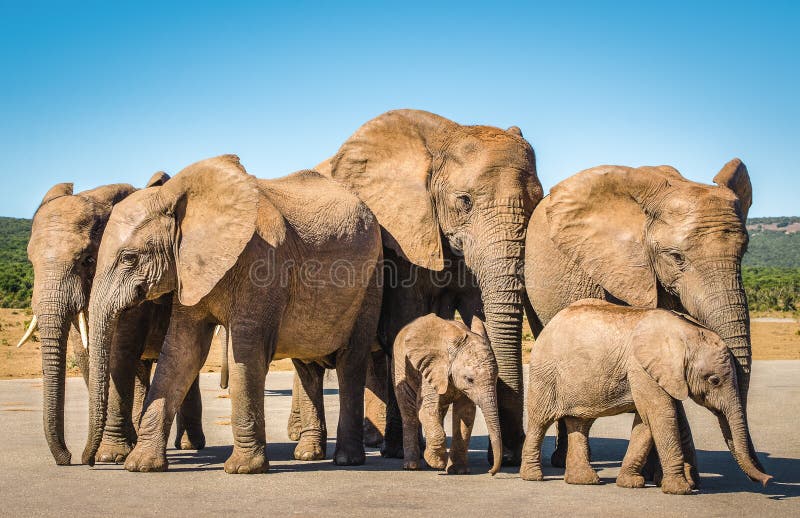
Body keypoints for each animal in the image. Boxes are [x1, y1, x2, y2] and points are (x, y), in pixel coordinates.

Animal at [22, 174, 206, 468]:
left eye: (88, 259)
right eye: (31, 262)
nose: (71, 458)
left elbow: (121, 352)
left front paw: (110, 455)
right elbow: (86, 354)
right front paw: (117, 451)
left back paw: (190, 444)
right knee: (142, 368)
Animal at [392, 314, 500, 478]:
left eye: (496, 377)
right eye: (470, 379)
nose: (491, 472)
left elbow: (465, 414)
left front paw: (459, 471)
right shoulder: (432, 369)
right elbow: (425, 411)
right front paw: (438, 463)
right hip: (399, 367)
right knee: (409, 413)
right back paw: (412, 466)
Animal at [520, 300, 772, 496]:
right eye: (714, 380)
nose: (767, 480)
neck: (685, 333)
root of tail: (551, 323)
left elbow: (646, 422)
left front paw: (630, 484)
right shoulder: (642, 368)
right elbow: (661, 414)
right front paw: (680, 490)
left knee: (580, 423)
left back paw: (584, 481)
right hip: (545, 373)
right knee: (540, 421)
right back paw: (533, 477)